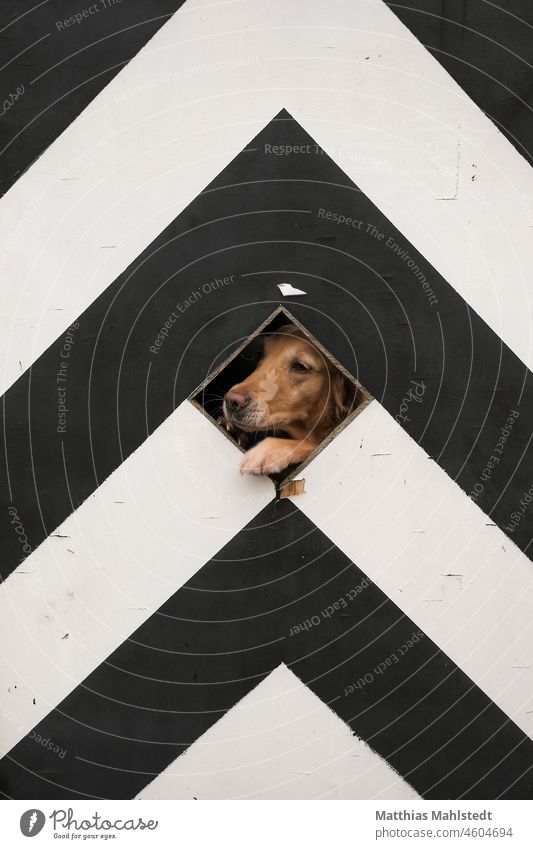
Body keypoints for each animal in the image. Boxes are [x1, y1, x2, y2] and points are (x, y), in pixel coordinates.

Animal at [220, 322, 358, 474]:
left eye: (300, 366)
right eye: (259, 354)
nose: (231, 401)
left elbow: (314, 443)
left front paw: (268, 450)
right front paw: (232, 428)